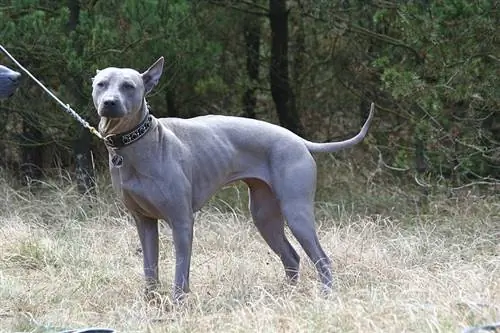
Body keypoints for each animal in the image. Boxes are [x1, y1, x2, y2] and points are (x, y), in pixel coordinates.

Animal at [93, 57, 376, 300]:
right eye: (101, 84)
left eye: (129, 86)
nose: (109, 102)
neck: (133, 144)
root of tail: (298, 140)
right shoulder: (144, 223)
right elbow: (150, 269)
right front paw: (151, 303)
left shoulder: (182, 222)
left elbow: (181, 271)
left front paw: (178, 305)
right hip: (265, 216)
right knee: (292, 257)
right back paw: (283, 296)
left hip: (297, 213)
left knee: (322, 258)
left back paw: (325, 296)